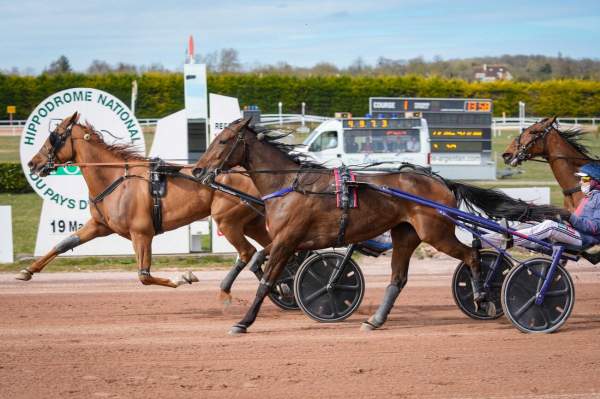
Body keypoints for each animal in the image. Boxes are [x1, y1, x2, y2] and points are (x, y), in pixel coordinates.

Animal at [21, 112, 270, 294]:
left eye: (54, 136)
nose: (33, 163)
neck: (115, 180)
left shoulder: (141, 233)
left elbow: (144, 275)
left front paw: (182, 277)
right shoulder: (100, 225)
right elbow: (63, 244)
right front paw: (28, 270)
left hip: (227, 221)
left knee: (249, 252)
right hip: (252, 223)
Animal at [193, 119, 564, 334]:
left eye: (223, 141)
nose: (197, 171)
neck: (290, 184)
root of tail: (441, 181)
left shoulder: (287, 240)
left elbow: (265, 279)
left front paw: (244, 321)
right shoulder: (288, 240)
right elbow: (259, 260)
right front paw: (275, 291)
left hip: (436, 231)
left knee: (472, 254)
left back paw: (483, 297)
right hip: (406, 235)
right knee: (398, 279)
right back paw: (375, 320)